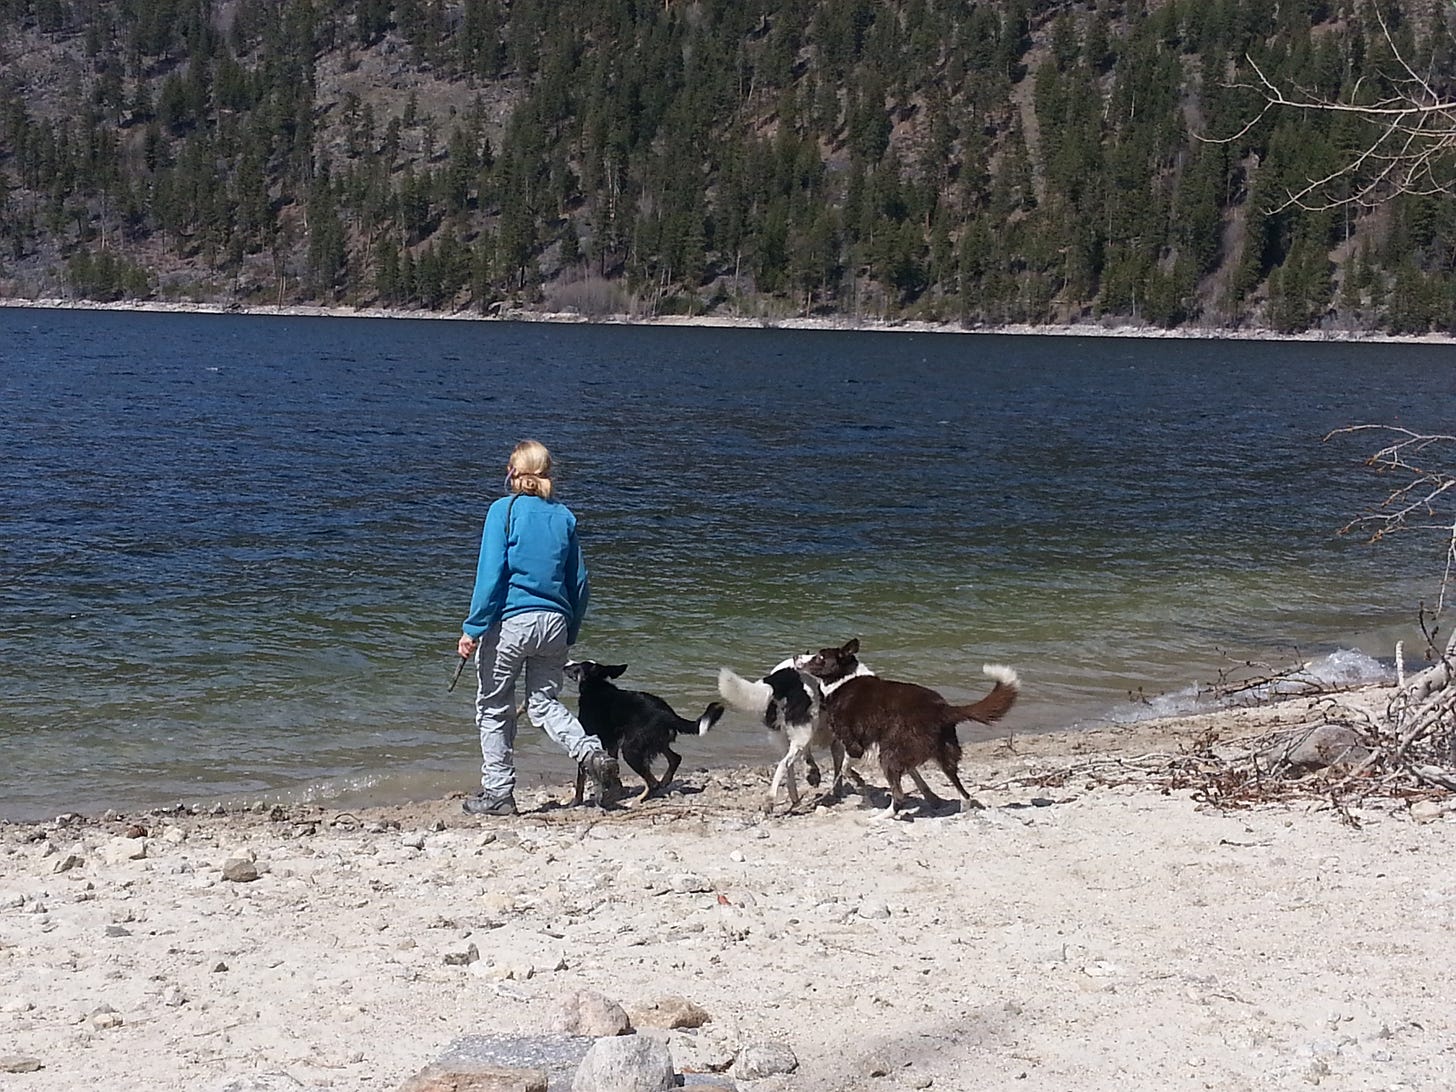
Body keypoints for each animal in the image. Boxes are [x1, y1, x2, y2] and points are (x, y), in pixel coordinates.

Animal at [559, 663, 725, 809]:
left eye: (576, 667)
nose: (564, 666)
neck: (595, 686)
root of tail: (667, 714)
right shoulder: (612, 745)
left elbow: (580, 781)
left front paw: (575, 802)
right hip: (655, 743)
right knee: (675, 759)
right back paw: (664, 782)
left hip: (631, 750)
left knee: (652, 782)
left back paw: (637, 800)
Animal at [803, 637, 1019, 815]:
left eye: (819, 657)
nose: (798, 656)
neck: (844, 679)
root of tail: (944, 709)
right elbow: (912, 771)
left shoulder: (855, 744)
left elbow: (846, 769)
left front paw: (859, 784)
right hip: (941, 755)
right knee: (963, 792)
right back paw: (964, 812)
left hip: (888, 756)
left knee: (899, 796)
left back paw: (881, 817)